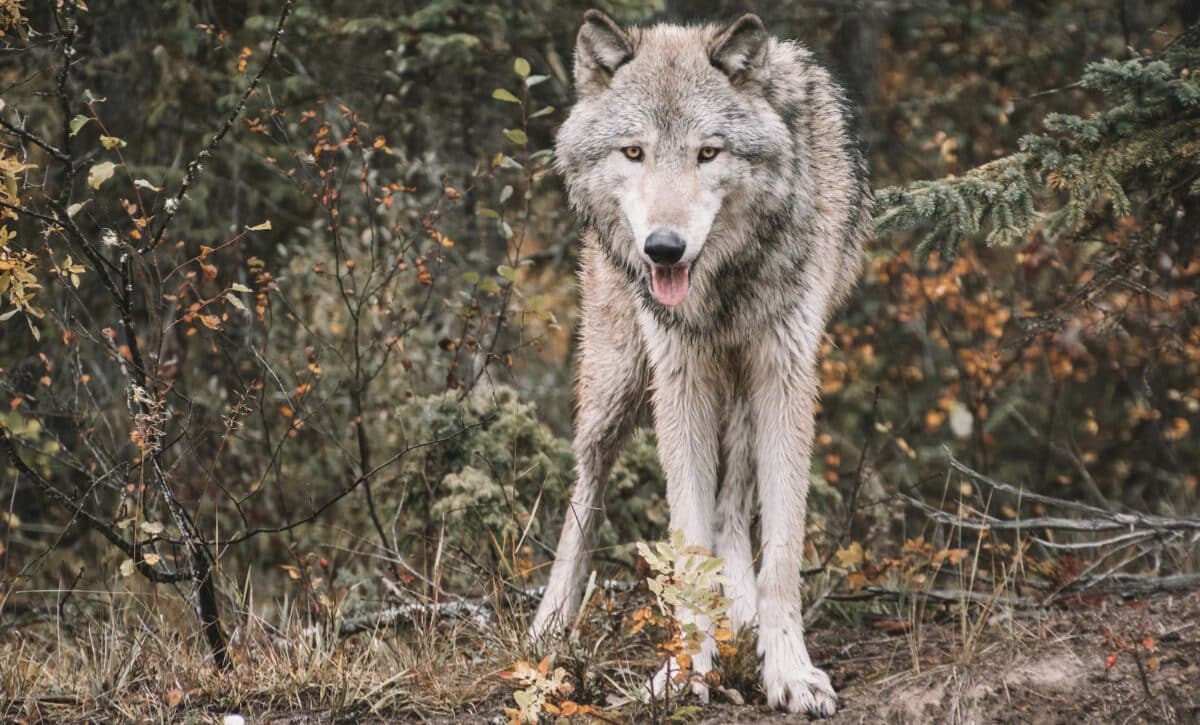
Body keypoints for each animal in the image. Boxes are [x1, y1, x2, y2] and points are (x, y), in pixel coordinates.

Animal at [531, 10, 871, 716]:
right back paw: (550, 626)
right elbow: (686, 543)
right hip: (617, 385)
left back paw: (739, 612)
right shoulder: (679, 378)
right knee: (587, 487)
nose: (663, 248)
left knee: (734, 501)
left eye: (707, 153)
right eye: (634, 152)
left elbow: (780, 552)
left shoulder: (786, 373)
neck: (725, 283)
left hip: (738, 390)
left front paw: (789, 671)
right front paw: (688, 671)